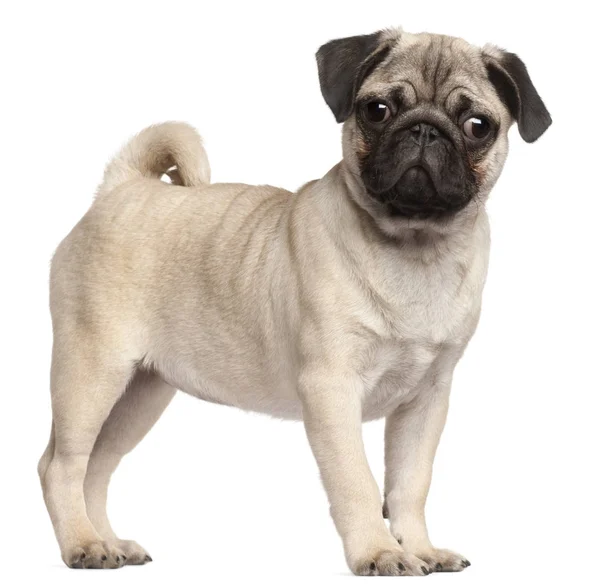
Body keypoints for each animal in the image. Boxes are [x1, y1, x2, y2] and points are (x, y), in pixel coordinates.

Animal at [38, 27, 548, 576]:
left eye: (477, 126)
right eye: (378, 110)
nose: (425, 131)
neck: (415, 247)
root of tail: (121, 188)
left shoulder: (426, 400)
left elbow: (410, 484)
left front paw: (420, 548)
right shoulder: (332, 388)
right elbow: (357, 482)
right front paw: (378, 553)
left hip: (140, 392)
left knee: (96, 466)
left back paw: (107, 541)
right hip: (93, 372)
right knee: (62, 465)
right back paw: (82, 545)